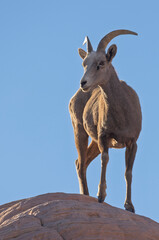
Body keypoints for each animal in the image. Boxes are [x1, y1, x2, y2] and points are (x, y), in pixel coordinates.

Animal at [69, 29, 142, 212]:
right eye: (84, 64)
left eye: (101, 63)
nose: (84, 83)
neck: (122, 115)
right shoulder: (104, 138)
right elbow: (105, 160)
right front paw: (101, 196)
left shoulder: (132, 143)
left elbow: (128, 173)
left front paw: (129, 206)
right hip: (80, 132)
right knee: (80, 163)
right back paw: (86, 196)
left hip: (93, 141)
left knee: (83, 162)